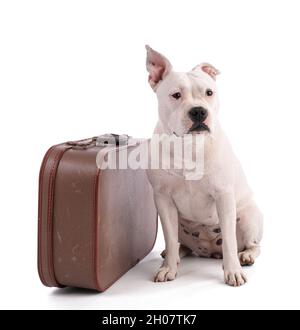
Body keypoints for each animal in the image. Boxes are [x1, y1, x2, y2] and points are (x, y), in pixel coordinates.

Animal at [145, 45, 262, 286]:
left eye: (209, 93)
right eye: (176, 95)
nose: (199, 111)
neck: (189, 147)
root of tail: (209, 252)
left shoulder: (224, 196)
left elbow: (229, 241)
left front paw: (233, 271)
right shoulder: (163, 199)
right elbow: (169, 237)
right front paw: (168, 268)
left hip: (249, 217)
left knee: (253, 245)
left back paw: (245, 256)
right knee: (180, 243)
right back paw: (175, 255)